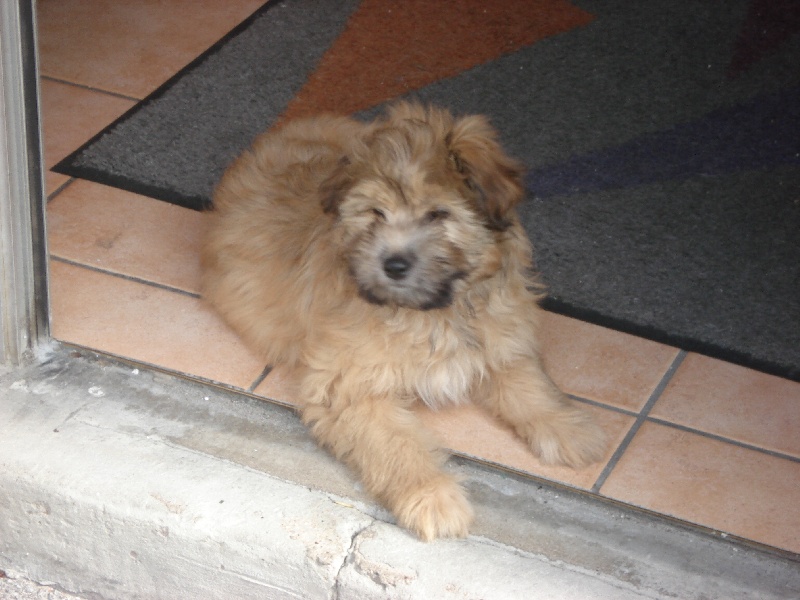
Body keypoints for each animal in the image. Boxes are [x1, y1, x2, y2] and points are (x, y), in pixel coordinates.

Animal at [201, 102, 606, 540]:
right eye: (375, 213)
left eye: (438, 214)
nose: (393, 265)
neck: (432, 313)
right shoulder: (349, 386)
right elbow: (395, 443)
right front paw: (432, 496)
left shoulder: (500, 335)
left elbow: (528, 383)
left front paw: (568, 427)